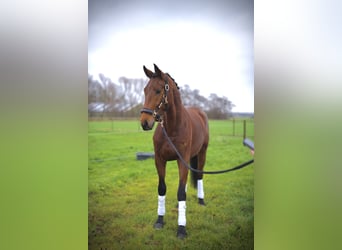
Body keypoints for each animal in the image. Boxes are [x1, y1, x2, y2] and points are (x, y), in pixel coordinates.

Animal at [139, 64, 208, 238]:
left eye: (158, 90)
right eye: (145, 90)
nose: (144, 122)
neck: (172, 128)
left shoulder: (182, 160)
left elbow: (181, 192)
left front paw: (181, 228)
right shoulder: (159, 160)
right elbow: (162, 188)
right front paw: (159, 220)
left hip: (202, 153)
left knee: (199, 175)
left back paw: (201, 200)